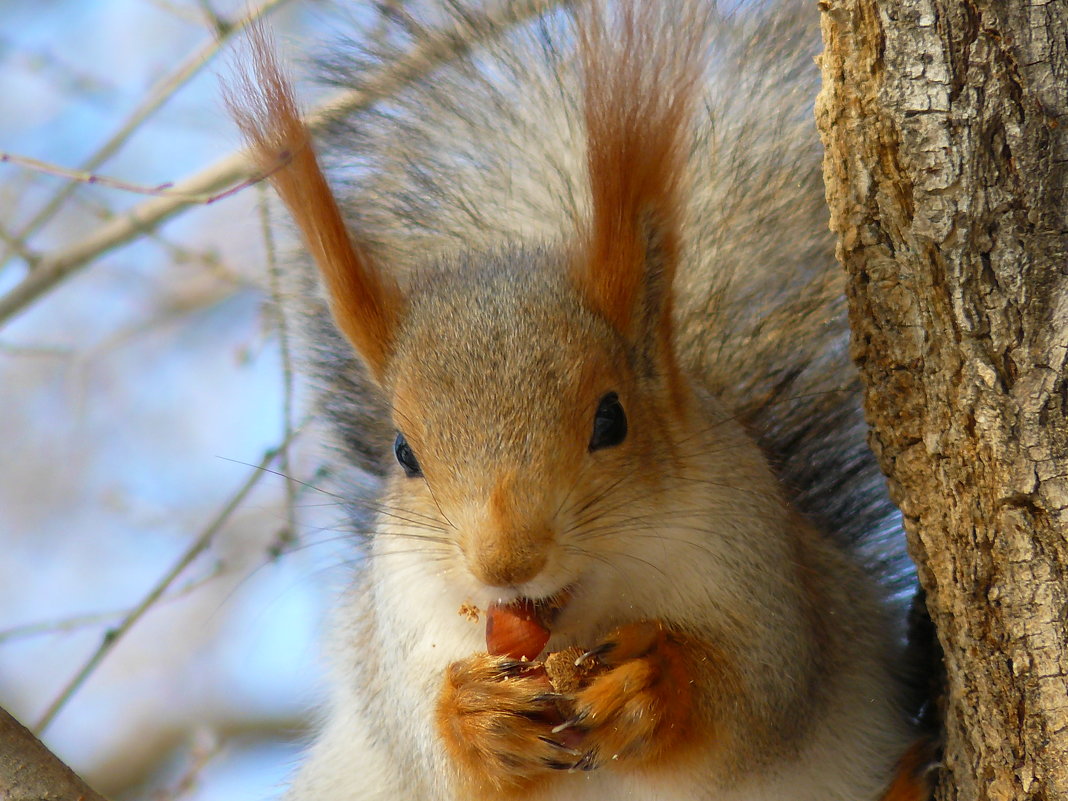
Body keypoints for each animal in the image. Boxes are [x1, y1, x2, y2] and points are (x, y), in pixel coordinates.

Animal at [227, 1, 935, 801]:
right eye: (403, 453)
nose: (506, 562)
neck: (576, 612)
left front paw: (651, 685)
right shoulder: (398, 634)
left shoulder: (770, 579)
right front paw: (476, 715)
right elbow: (430, 753)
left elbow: (758, 694)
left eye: (611, 418)